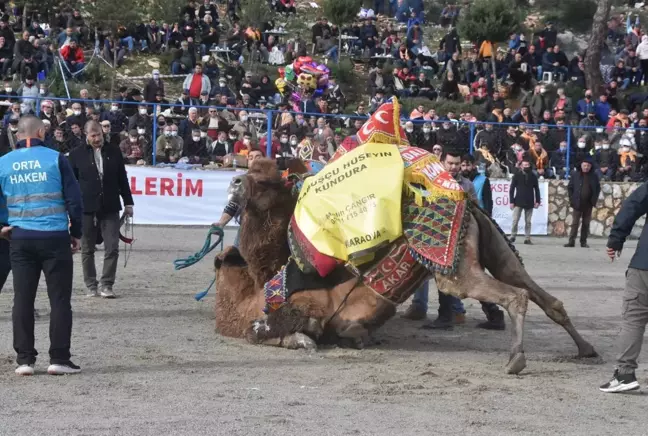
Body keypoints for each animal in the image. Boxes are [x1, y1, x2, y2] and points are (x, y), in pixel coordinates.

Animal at [214, 158, 596, 372]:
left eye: (265, 180)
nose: (233, 181)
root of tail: (467, 199)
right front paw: (359, 340)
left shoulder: (301, 308)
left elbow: (257, 330)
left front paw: (301, 341)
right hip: (497, 250)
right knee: (541, 294)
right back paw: (586, 350)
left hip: (457, 271)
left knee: (513, 295)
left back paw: (516, 359)